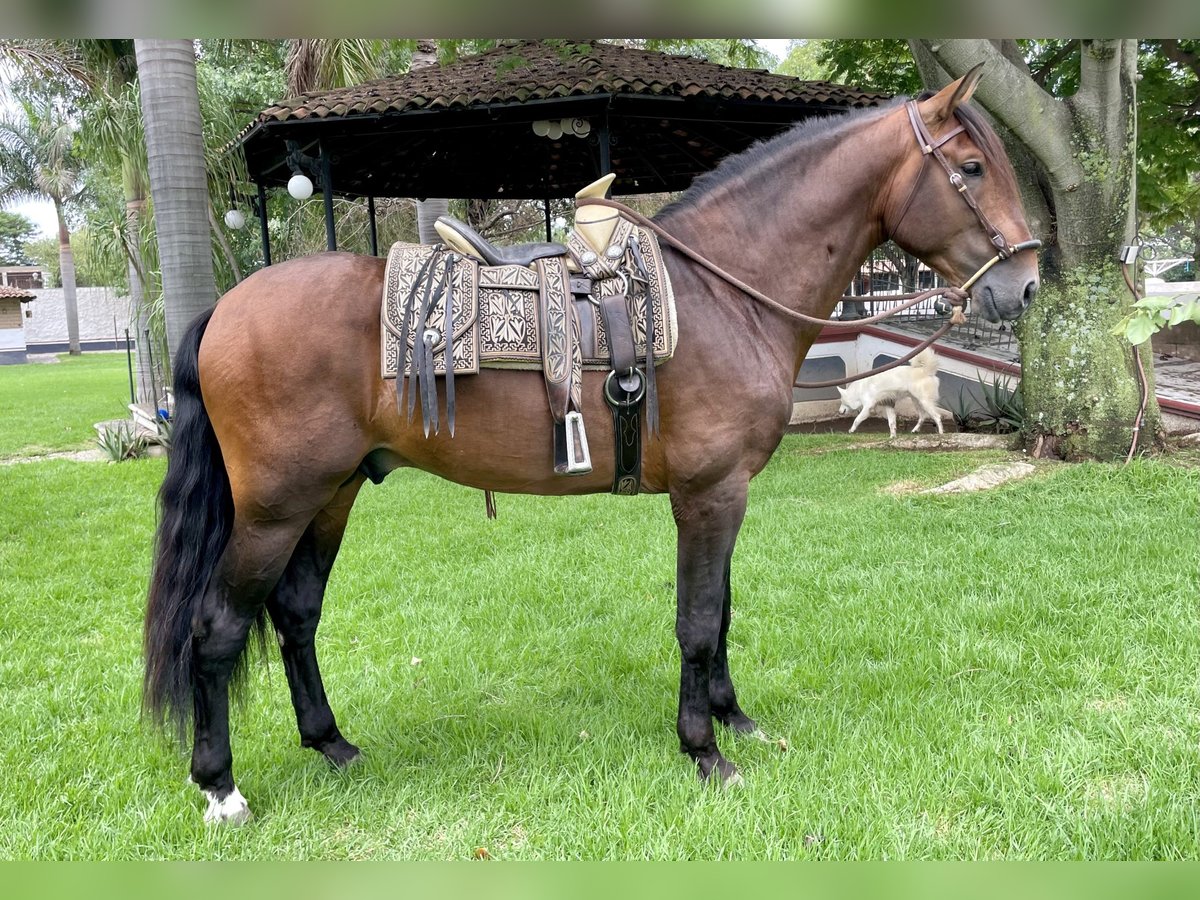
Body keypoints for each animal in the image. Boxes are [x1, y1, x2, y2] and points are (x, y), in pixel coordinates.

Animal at [142, 66, 1041, 820]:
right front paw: (703, 751)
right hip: (274, 508)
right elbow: (698, 619)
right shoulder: (710, 494)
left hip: (331, 495)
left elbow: (722, 610)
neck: (724, 294)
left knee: (295, 616)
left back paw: (331, 743)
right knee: (216, 630)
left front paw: (732, 716)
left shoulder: (726, 496)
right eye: (969, 168)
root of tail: (224, 308)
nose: (1025, 285)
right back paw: (220, 787)